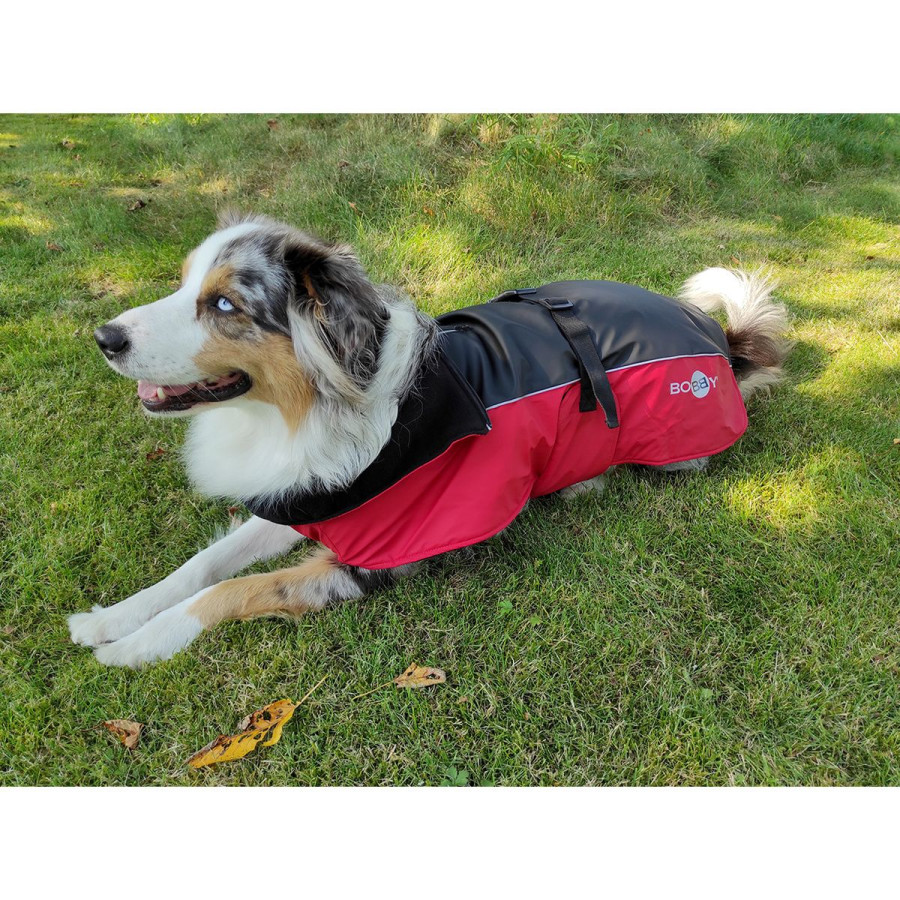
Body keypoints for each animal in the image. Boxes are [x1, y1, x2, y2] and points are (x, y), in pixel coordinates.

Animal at [68, 211, 789, 667]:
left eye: (223, 305)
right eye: (183, 282)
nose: (105, 338)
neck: (314, 407)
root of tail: (722, 341)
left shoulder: (370, 562)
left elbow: (231, 591)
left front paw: (133, 648)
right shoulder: (305, 494)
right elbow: (203, 566)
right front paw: (112, 618)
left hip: (678, 450)